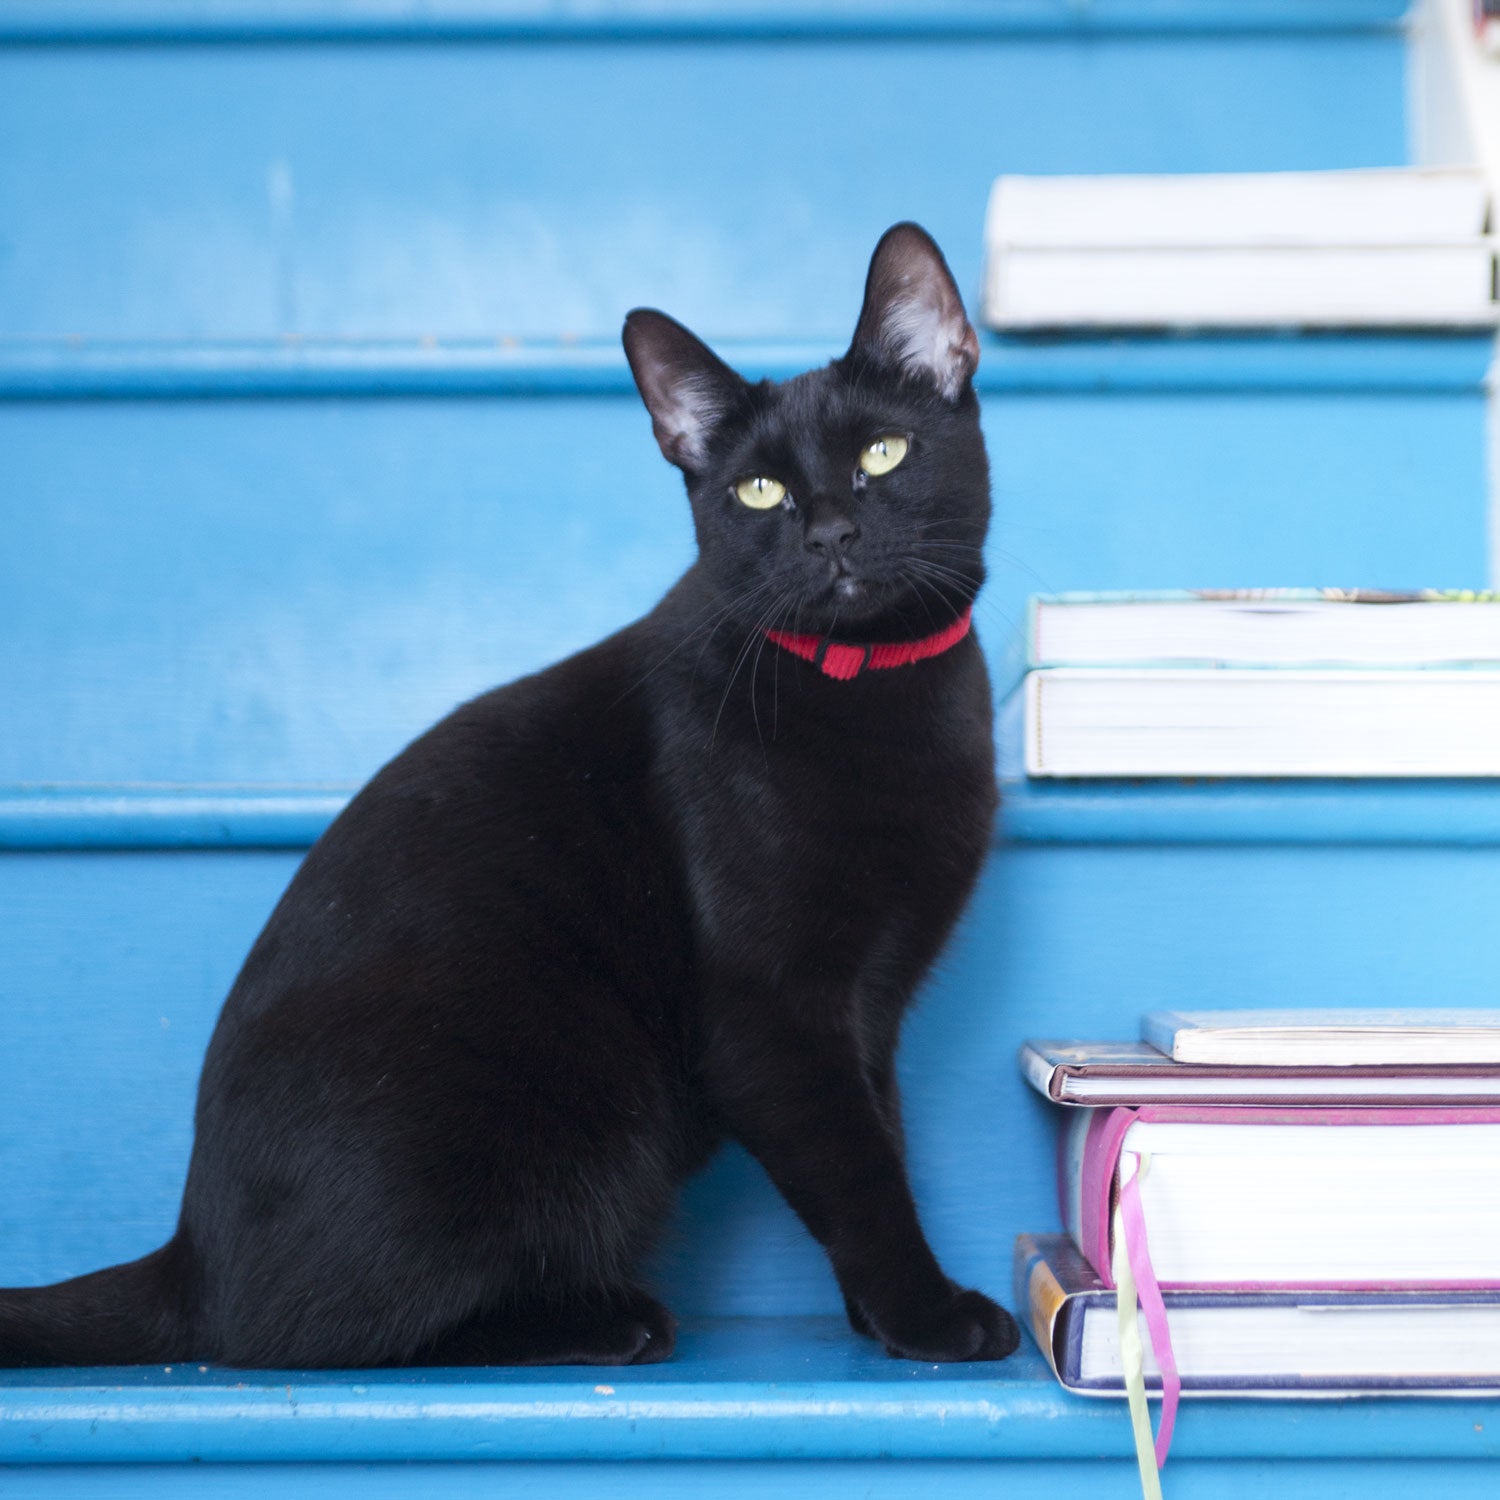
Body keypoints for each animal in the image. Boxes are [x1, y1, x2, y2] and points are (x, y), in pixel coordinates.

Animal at [0, 225, 1020, 1374]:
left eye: (881, 455)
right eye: (760, 494)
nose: (831, 533)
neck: (875, 686)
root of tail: (192, 1255)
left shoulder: (870, 1003)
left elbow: (879, 1133)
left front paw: (879, 1317)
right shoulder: (772, 1014)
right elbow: (858, 1173)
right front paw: (930, 1315)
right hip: (585, 1103)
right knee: (312, 1330)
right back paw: (609, 1318)